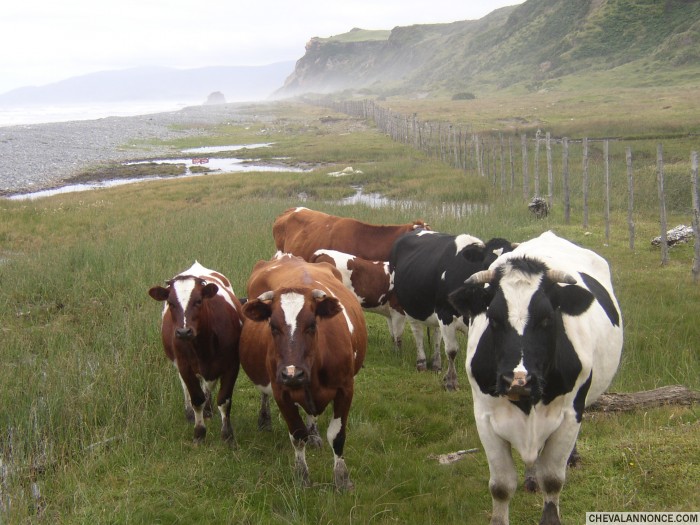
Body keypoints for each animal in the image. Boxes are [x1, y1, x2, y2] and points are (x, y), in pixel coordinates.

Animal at [148, 261, 243, 444]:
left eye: (199, 301)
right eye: (171, 303)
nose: (184, 332)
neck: (203, 346)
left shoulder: (232, 365)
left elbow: (224, 400)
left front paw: (227, 435)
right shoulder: (185, 366)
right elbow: (196, 399)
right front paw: (199, 433)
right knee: (187, 387)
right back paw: (190, 413)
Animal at [239, 254, 367, 491]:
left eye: (312, 325)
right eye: (272, 326)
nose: (292, 374)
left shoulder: (346, 389)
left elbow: (337, 436)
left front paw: (342, 479)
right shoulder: (281, 391)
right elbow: (297, 436)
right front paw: (302, 477)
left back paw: (314, 433)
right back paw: (265, 419)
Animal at [389, 229, 516, 390]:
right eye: (487, 264)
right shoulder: (445, 313)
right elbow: (451, 350)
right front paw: (451, 382)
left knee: (436, 335)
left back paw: (436, 364)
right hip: (411, 307)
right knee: (417, 332)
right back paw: (421, 363)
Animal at [447, 231, 623, 525]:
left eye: (547, 318)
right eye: (493, 318)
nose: (517, 380)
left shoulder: (569, 415)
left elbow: (552, 480)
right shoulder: (484, 417)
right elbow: (501, 486)